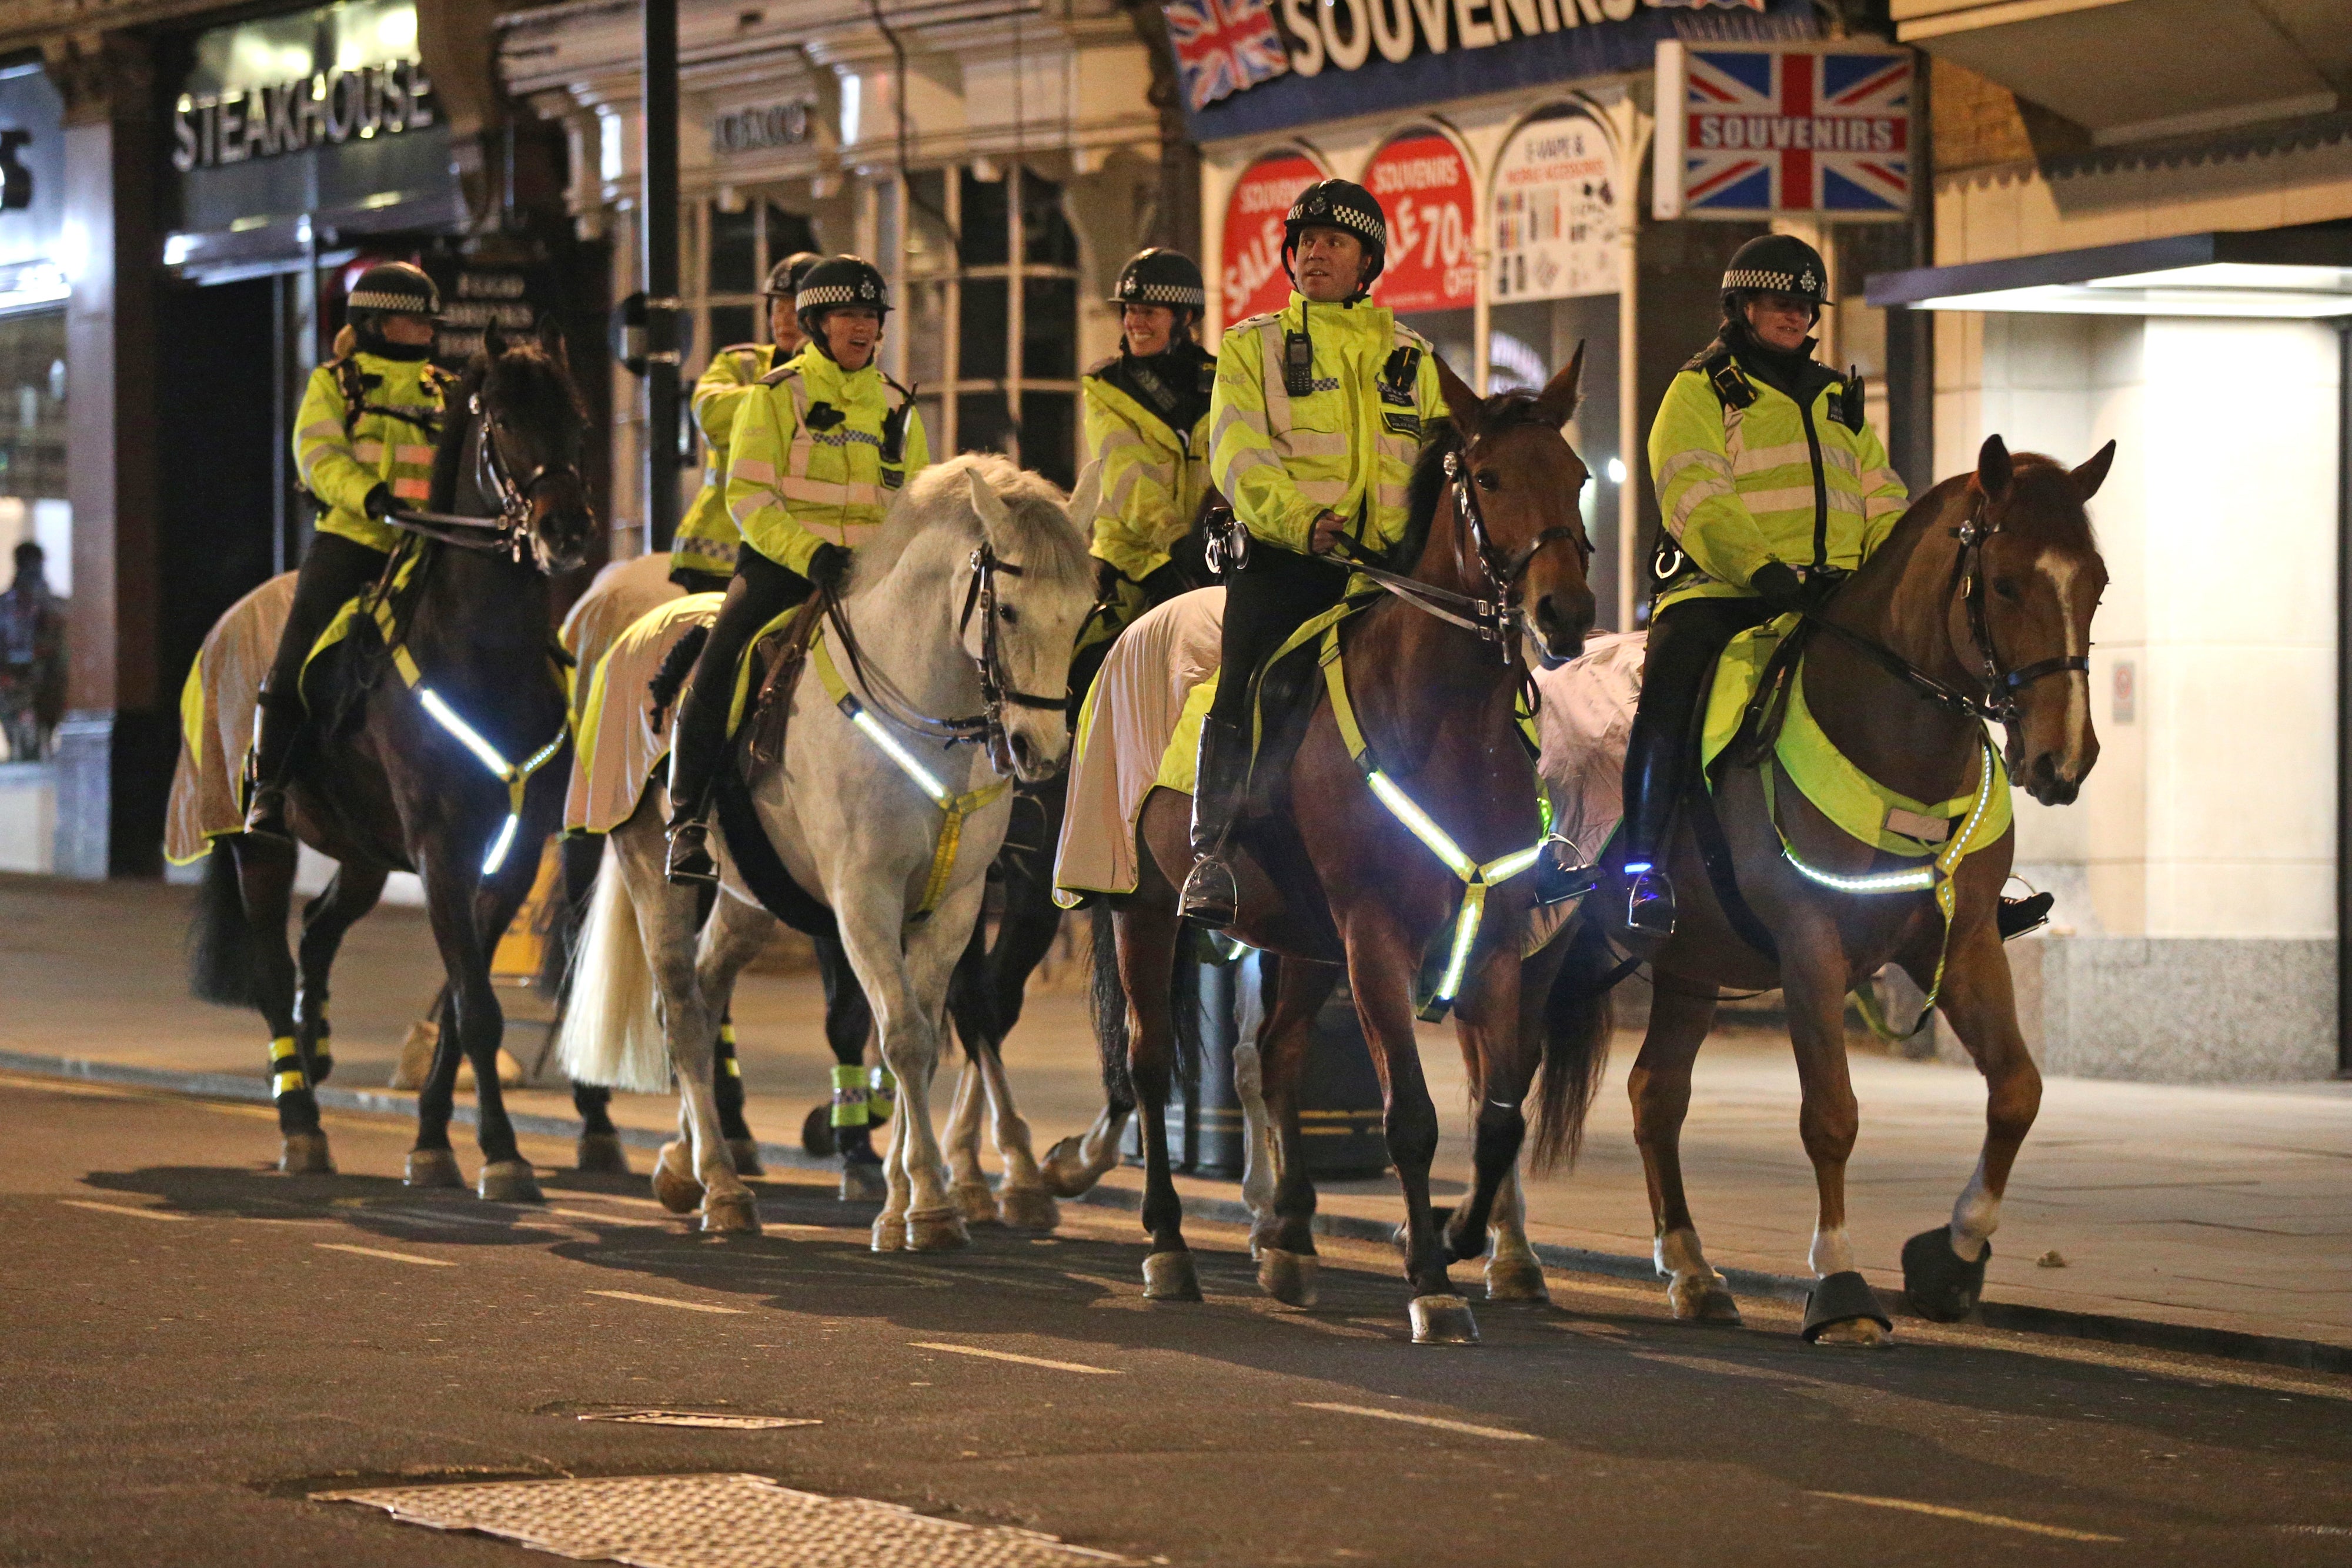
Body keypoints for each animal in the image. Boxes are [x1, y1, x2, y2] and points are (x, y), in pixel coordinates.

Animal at [193, 324, 597, 1194]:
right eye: (504, 420)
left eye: (579, 421)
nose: (567, 531)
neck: (483, 652)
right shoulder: (442, 848)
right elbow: (476, 1006)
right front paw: (502, 1152)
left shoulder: (509, 856)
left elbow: (461, 1003)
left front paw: (436, 1140)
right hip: (260, 844)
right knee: (273, 966)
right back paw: (301, 1120)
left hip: (364, 853)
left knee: (318, 931)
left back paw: (317, 1048)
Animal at [557, 456, 1091, 1251]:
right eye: (1009, 612)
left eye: (1085, 612)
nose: (1043, 752)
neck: (922, 718)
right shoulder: (861, 899)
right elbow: (903, 1037)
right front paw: (931, 1205)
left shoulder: (954, 905)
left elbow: (925, 1030)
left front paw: (903, 1198)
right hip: (655, 871)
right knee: (680, 1010)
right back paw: (723, 1188)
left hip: (750, 898)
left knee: (707, 997)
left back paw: (687, 1166)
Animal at [1091, 359, 1609, 1354]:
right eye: (1490, 479)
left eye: (1577, 475)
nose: (1564, 613)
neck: (1445, 719)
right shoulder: (1376, 938)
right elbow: (1411, 1115)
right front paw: (1431, 1284)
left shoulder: (1491, 943)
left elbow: (1499, 1117)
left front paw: (1452, 1235)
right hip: (1142, 904)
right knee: (1149, 1061)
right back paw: (1168, 1244)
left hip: (1302, 940)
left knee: (1277, 1050)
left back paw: (1290, 1238)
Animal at [1599, 434, 2117, 1345]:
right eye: (2006, 583)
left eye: (2096, 582)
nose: (2064, 760)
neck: (1892, 744)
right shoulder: (1812, 949)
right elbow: (1831, 1115)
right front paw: (1840, 1283)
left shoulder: (1963, 943)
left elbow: (2017, 1091)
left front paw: (1952, 1256)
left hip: (1689, 967)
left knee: (1653, 1094)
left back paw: (1693, 1272)